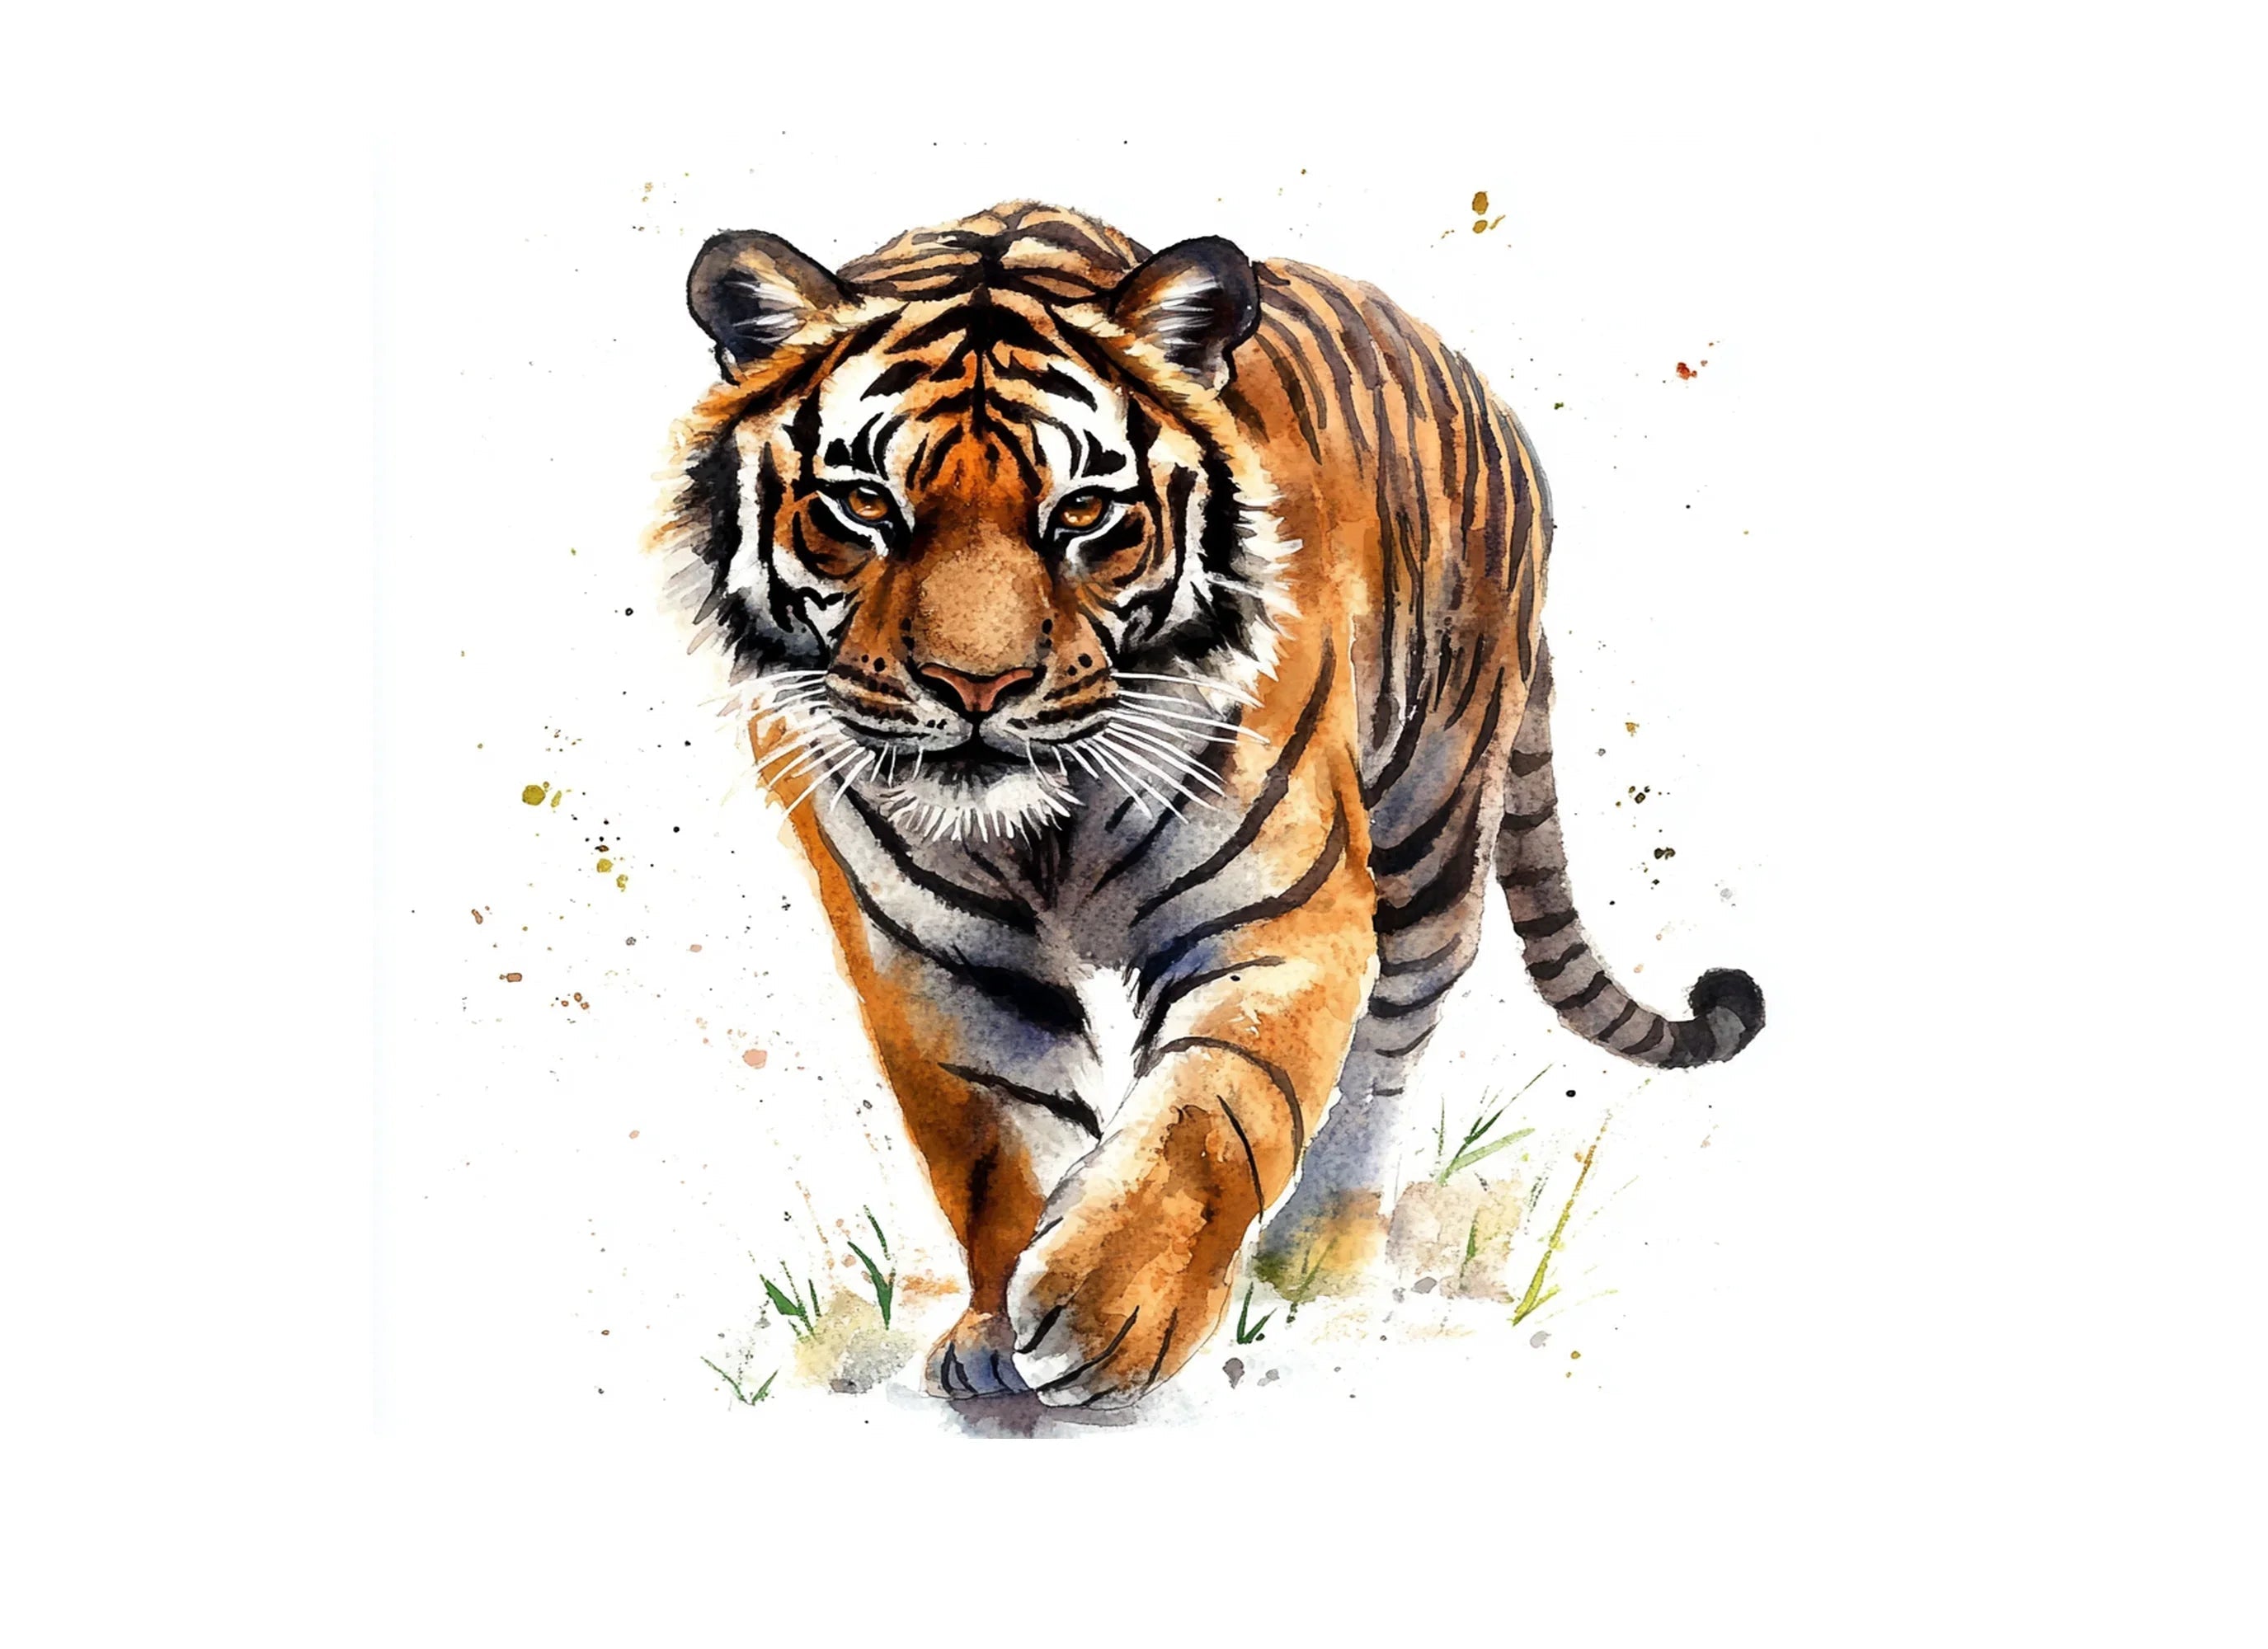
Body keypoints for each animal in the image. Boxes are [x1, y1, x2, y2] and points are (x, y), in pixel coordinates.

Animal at [652, 201, 1763, 1408]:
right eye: (864, 505)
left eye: (1084, 511)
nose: (976, 689)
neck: (1047, 819)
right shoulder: (939, 959)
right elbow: (998, 1143)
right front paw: (1000, 1327)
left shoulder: (1276, 919)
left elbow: (1213, 1116)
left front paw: (1110, 1313)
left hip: (1432, 816)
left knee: (1397, 1031)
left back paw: (1317, 1259)